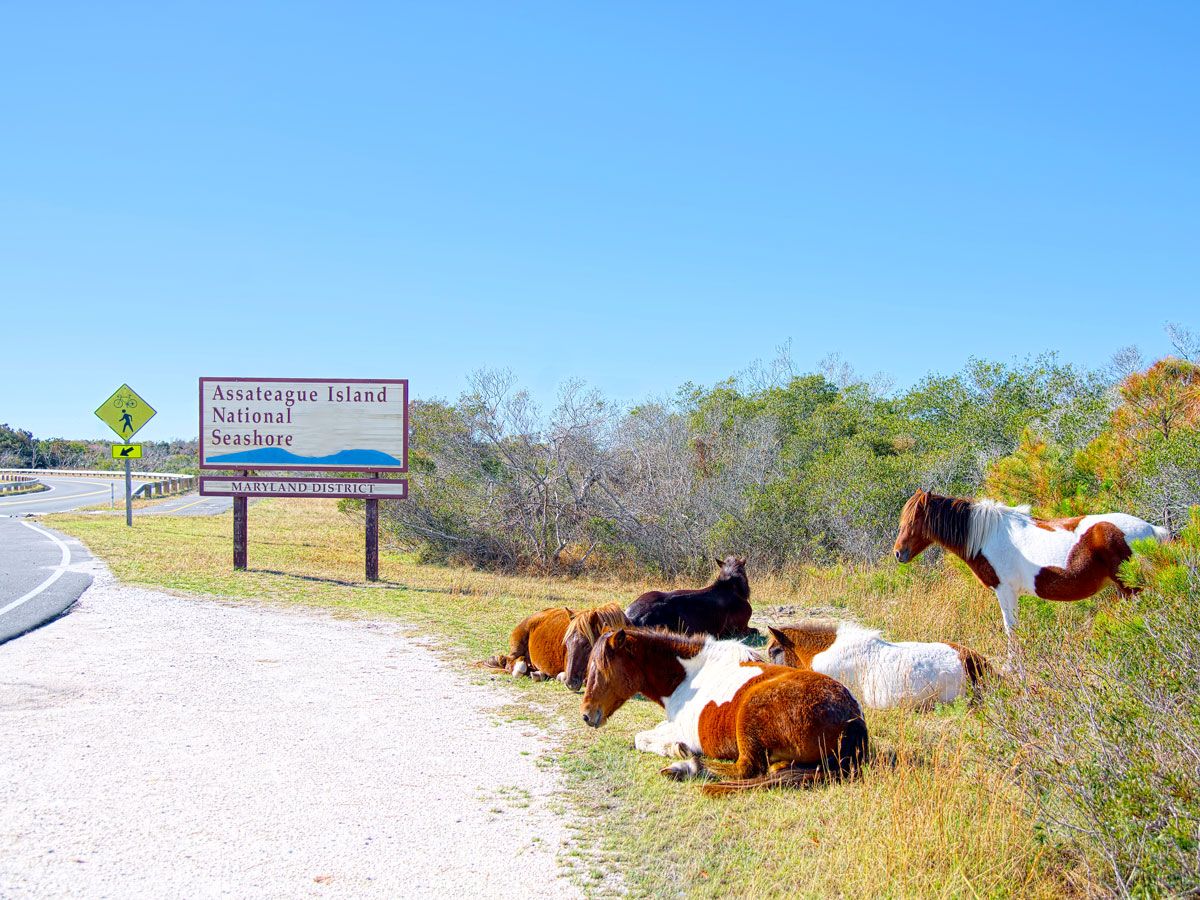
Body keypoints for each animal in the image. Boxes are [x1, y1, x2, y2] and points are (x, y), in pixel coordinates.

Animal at [580, 627, 868, 795]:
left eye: (601, 669)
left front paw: (677, 750)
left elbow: (642, 738)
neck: (688, 677)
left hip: (749, 720)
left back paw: (686, 767)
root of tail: (852, 717)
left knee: (746, 770)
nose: (586, 714)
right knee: (775, 771)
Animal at [893, 489, 1170, 655]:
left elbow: (1011, 630)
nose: (898, 553)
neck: (988, 536)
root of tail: (1151, 529)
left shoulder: (1005, 591)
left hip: (1131, 588)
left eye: (913, 521)